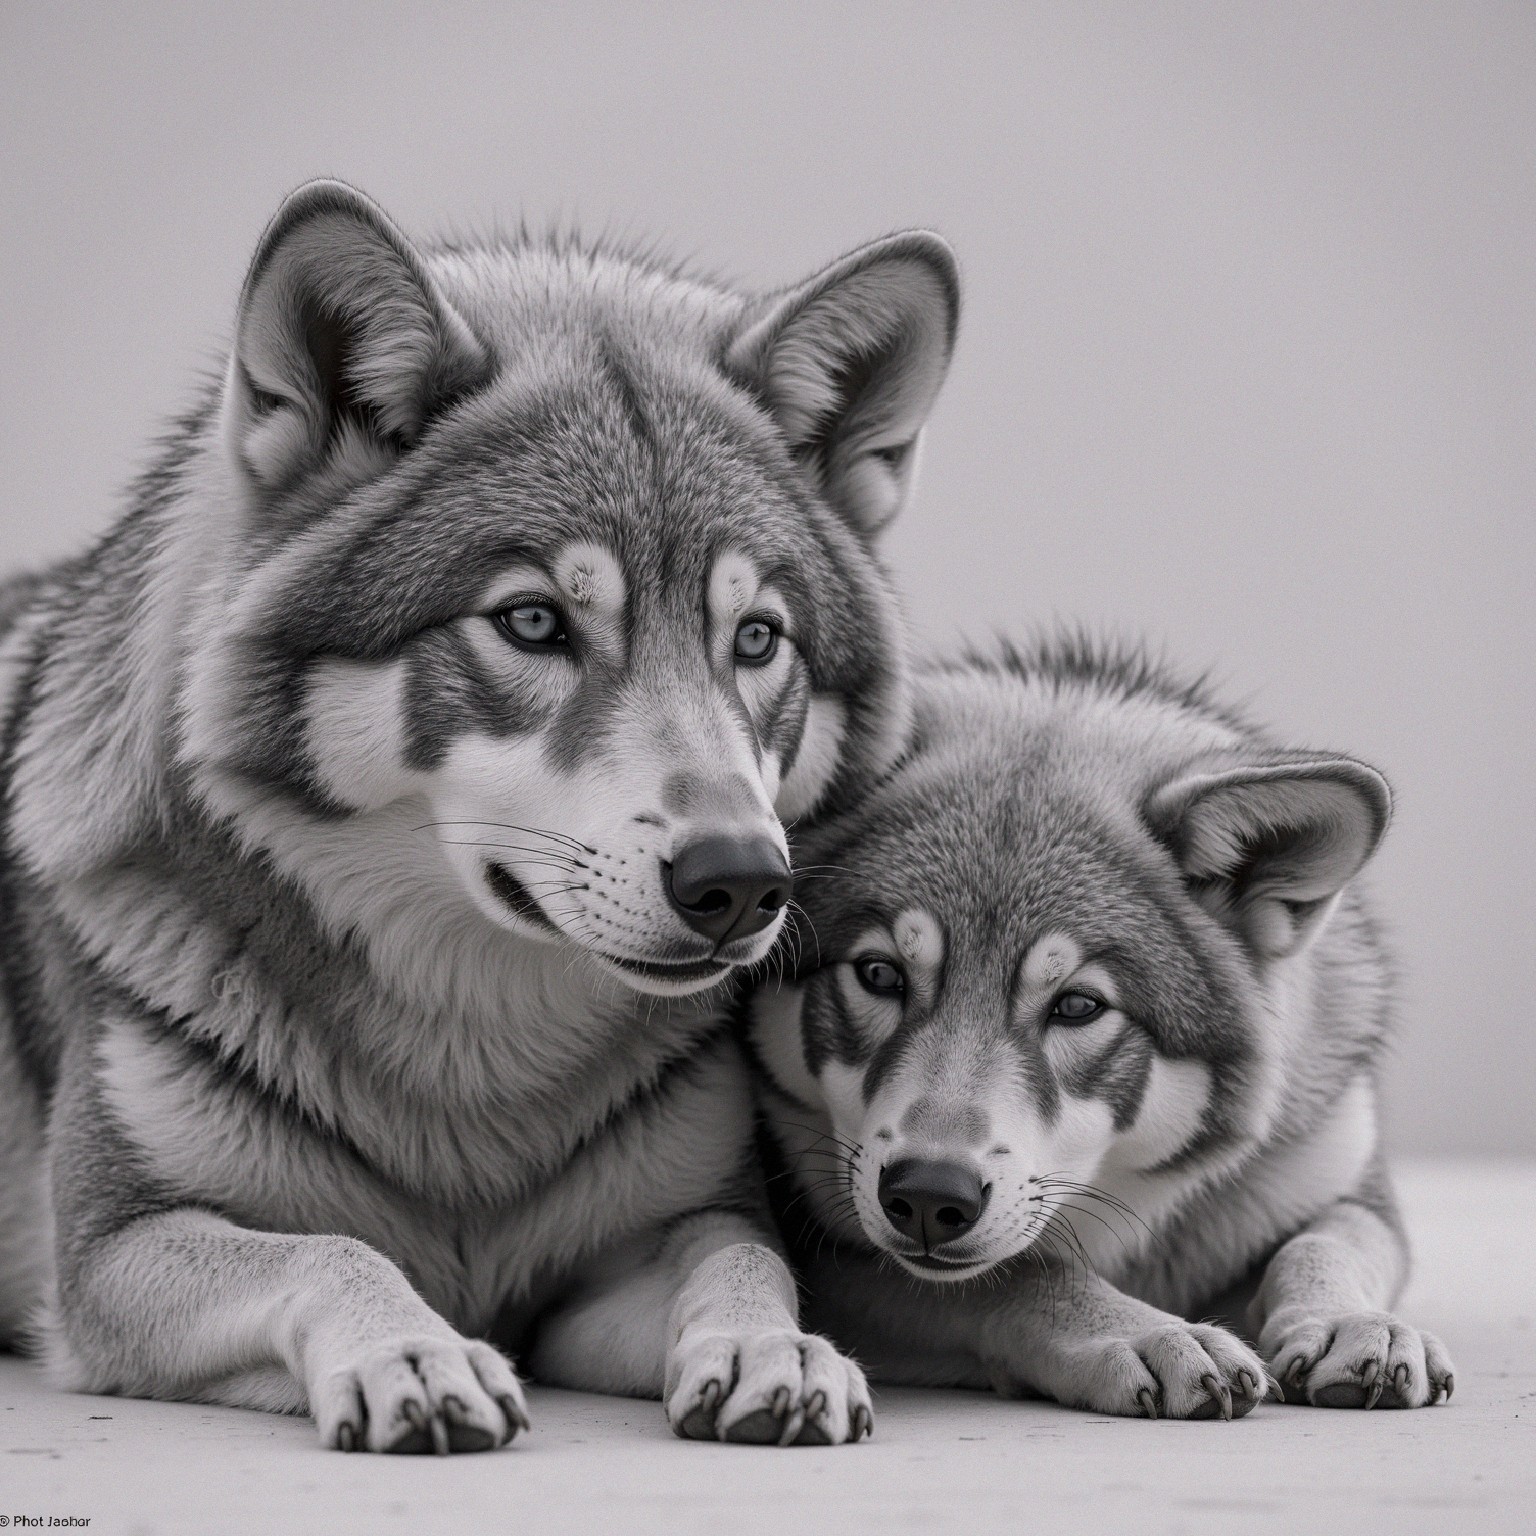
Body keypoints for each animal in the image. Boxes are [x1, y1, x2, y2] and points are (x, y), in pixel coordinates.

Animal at [0, 179, 959, 1451]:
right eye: (534, 623)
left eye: (758, 639)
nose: (743, 881)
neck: (472, 1083)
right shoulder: (112, 1255)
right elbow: (333, 1250)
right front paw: (412, 1352)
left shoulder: (635, 1249)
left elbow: (745, 1258)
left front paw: (779, 1349)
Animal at [749, 636, 1455, 1418]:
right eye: (878, 974)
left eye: (1078, 1006)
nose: (930, 1196)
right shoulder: (828, 1248)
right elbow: (1027, 1276)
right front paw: (1154, 1335)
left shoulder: (1343, 1181)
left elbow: (1325, 1245)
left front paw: (1356, 1324)